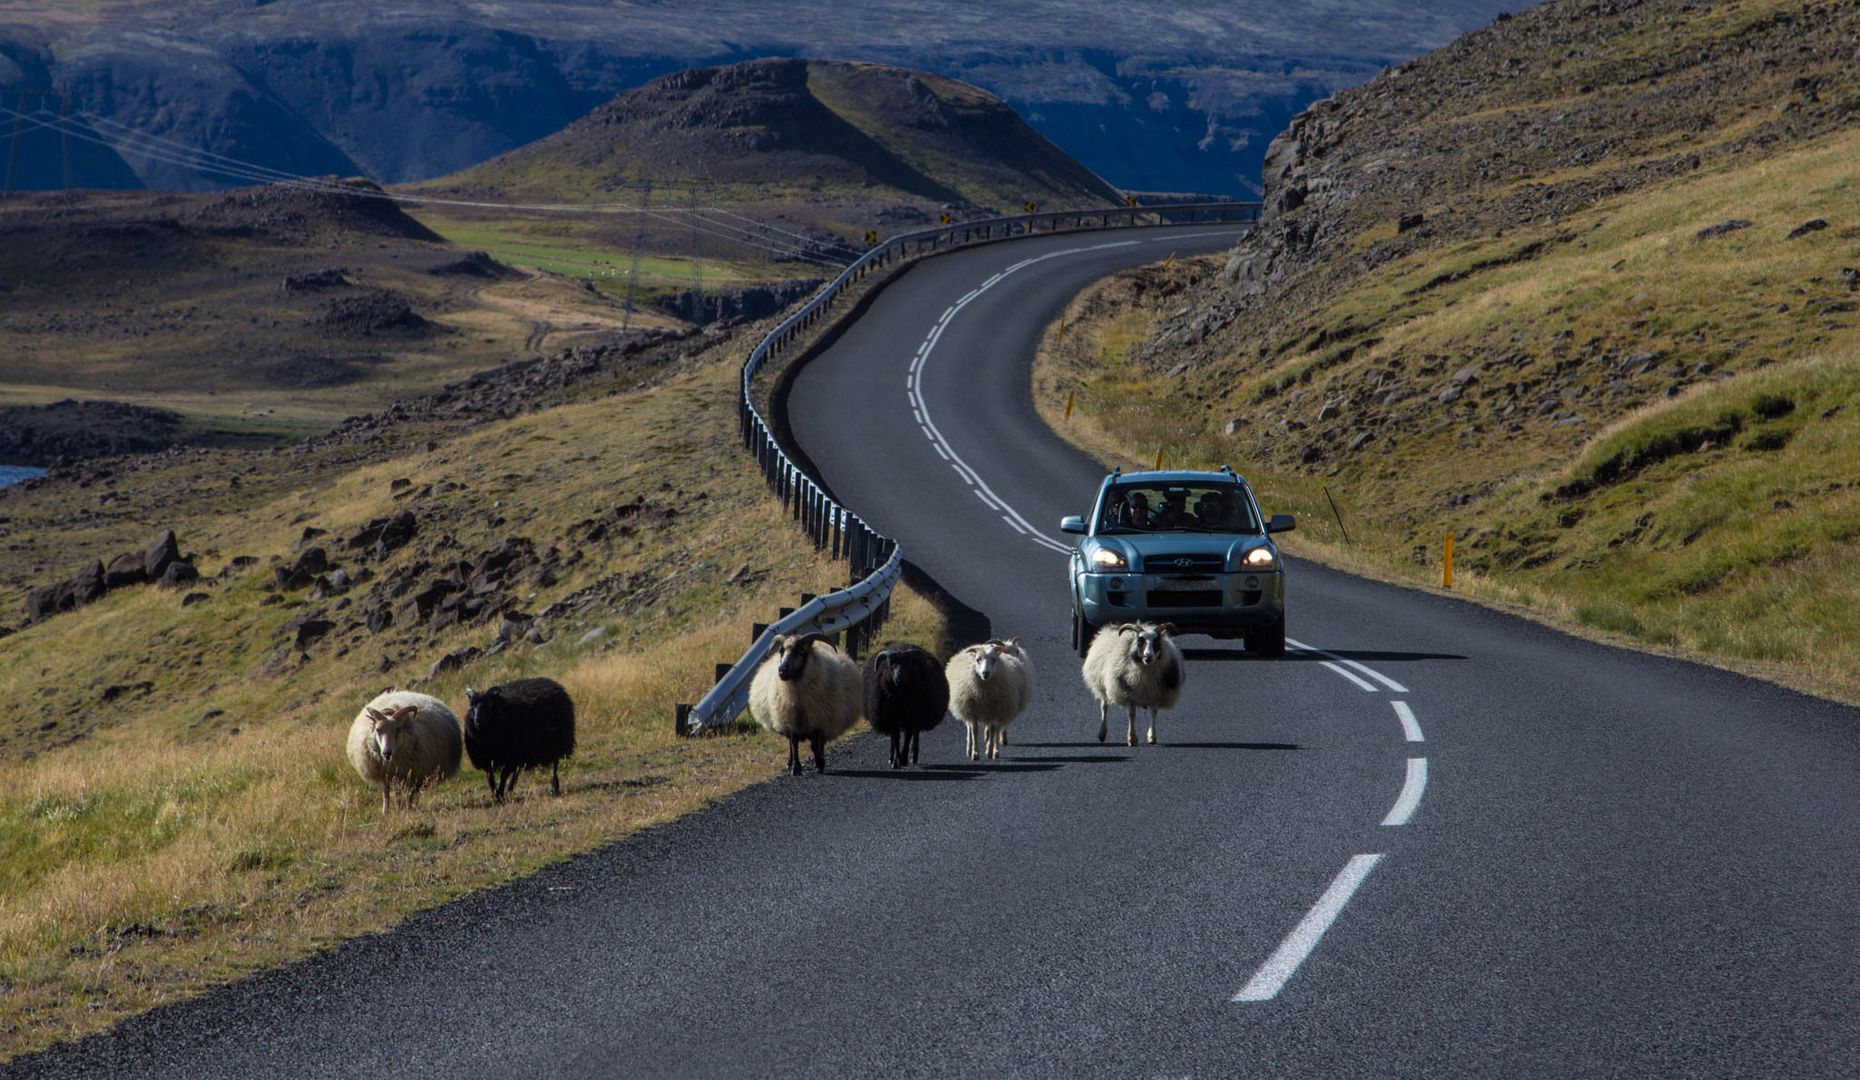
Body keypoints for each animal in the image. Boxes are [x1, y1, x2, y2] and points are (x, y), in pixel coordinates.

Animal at [747, 632, 863, 773]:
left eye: (801, 651)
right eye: (781, 651)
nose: (782, 670)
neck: (798, 699)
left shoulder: (819, 720)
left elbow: (815, 745)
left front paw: (819, 763)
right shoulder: (791, 720)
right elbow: (794, 744)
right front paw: (795, 767)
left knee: (820, 743)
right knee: (791, 743)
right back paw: (790, 762)